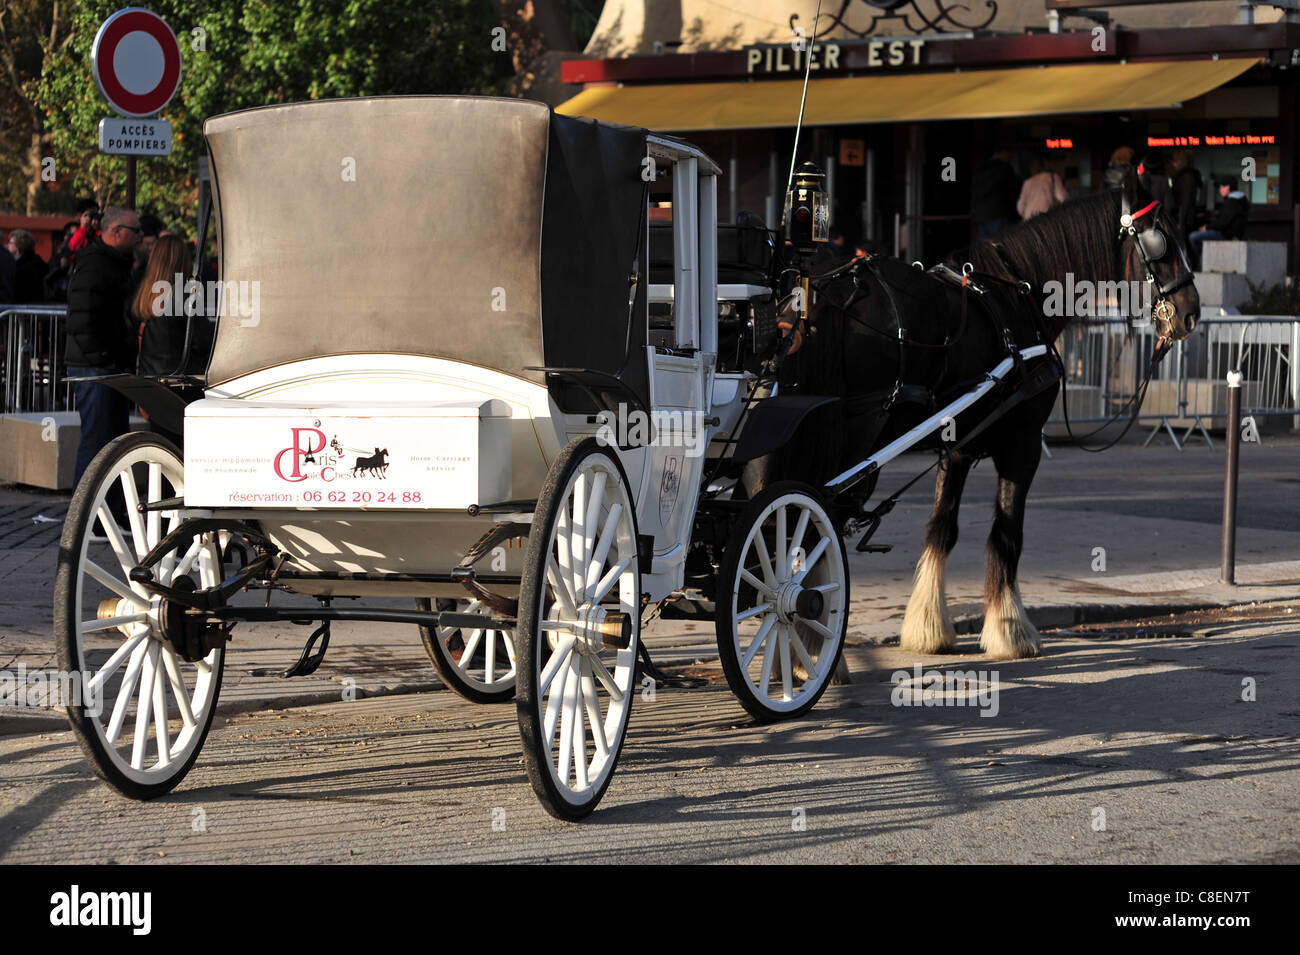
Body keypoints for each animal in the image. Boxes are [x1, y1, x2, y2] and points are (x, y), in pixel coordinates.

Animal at [759, 178, 1196, 657]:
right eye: (1163, 242)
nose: (1191, 310)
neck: (1018, 299)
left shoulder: (958, 446)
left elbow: (941, 528)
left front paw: (929, 627)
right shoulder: (1022, 444)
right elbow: (1006, 535)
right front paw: (1010, 629)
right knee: (809, 528)